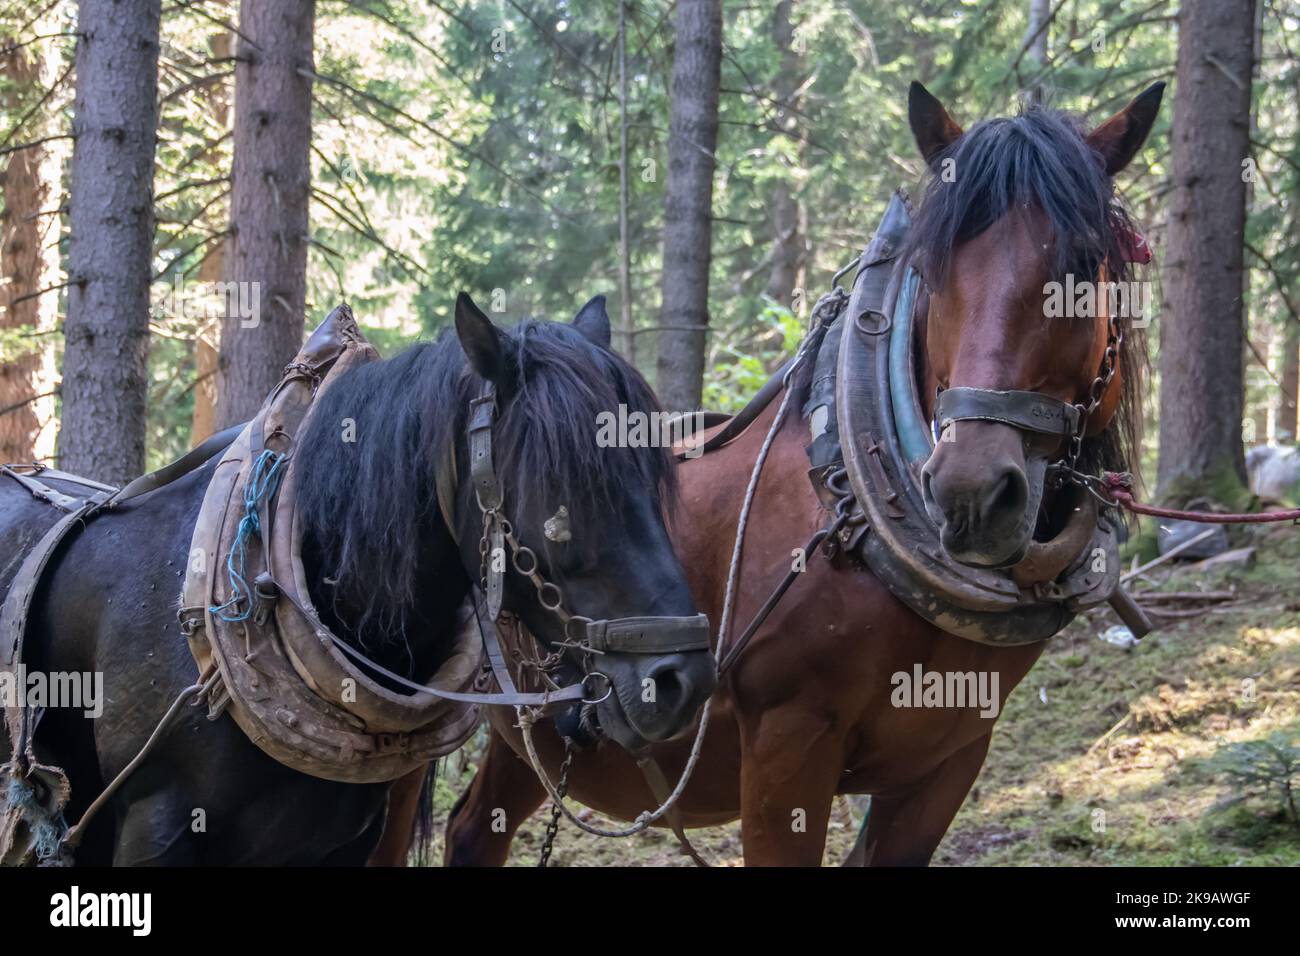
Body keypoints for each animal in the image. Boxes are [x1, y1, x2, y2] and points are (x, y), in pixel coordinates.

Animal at [379, 82, 1164, 868]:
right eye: (931, 269)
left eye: (1082, 266)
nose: (969, 490)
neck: (863, 515)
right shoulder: (788, 750)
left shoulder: (949, 762)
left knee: (474, 826)